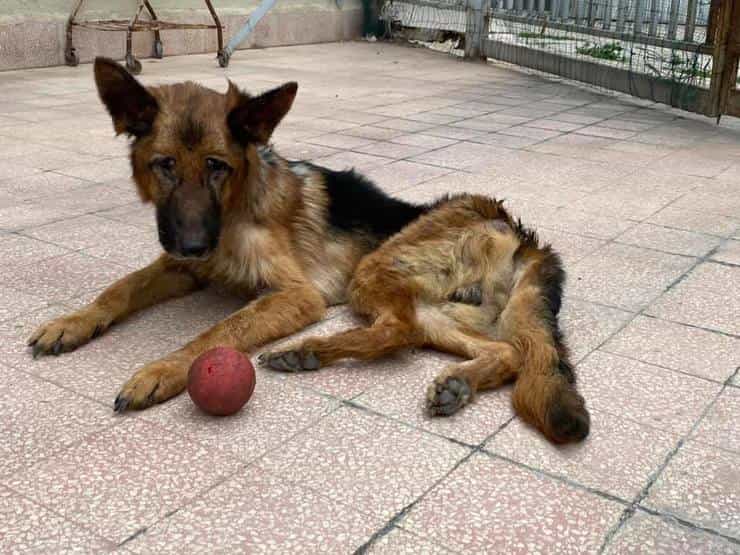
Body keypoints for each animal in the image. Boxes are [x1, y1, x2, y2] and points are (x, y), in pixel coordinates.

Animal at [28, 58, 588, 446]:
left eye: (216, 166)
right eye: (164, 165)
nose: (192, 244)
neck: (240, 205)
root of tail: (520, 233)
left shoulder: (296, 295)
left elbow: (218, 331)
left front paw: (164, 371)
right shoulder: (180, 269)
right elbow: (119, 289)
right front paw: (71, 323)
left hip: (375, 269)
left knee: (397, 329)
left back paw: (309, 351)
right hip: (433, 307)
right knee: (499, 350)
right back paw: (457, 382)